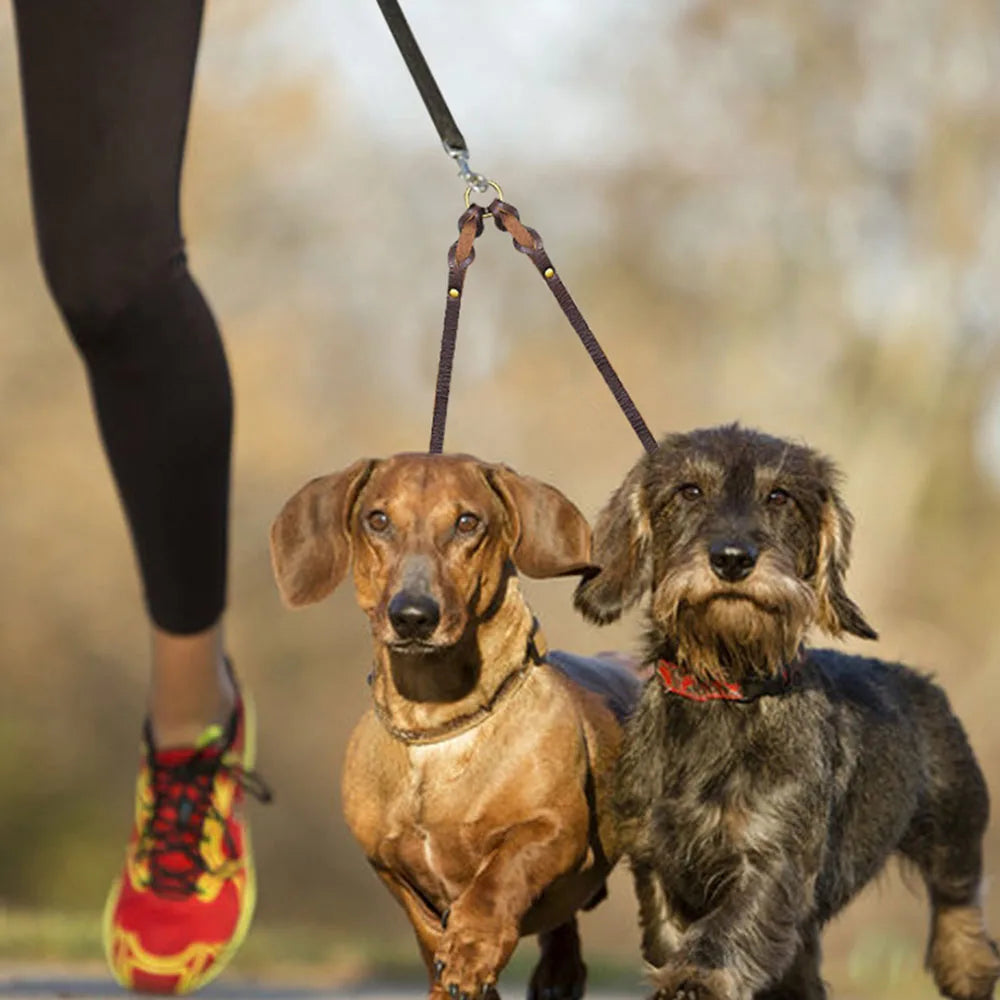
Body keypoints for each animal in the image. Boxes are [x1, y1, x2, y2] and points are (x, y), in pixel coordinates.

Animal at [576, 426, 996, 1000]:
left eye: (779, 497)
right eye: (689, 491)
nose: (733, 558)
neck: (725, 691)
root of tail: (921, 683)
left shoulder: (773, 855)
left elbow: (728, 926)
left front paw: (696, 976)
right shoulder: (656, 857)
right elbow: (669, 932)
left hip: (955, 818)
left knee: (961, 894)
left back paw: (967, 964)